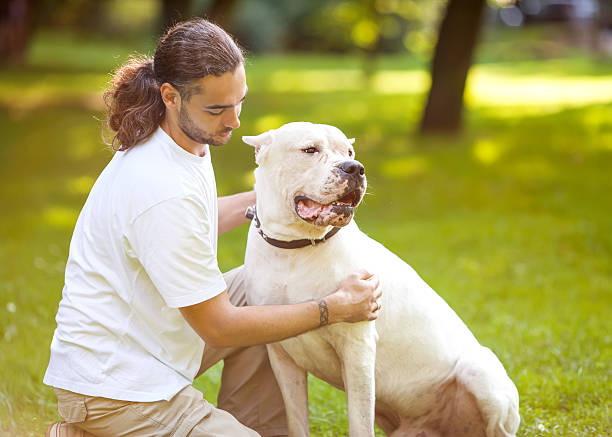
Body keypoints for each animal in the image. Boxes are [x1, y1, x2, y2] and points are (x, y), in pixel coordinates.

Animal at [241, 122, 520, 436]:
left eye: (349, 152)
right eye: (310, 150)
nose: (354, 168)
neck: (294, 249)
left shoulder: (358, 349)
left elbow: (360, 422)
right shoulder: (282, 356)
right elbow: (296, 420)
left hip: (481, 374)